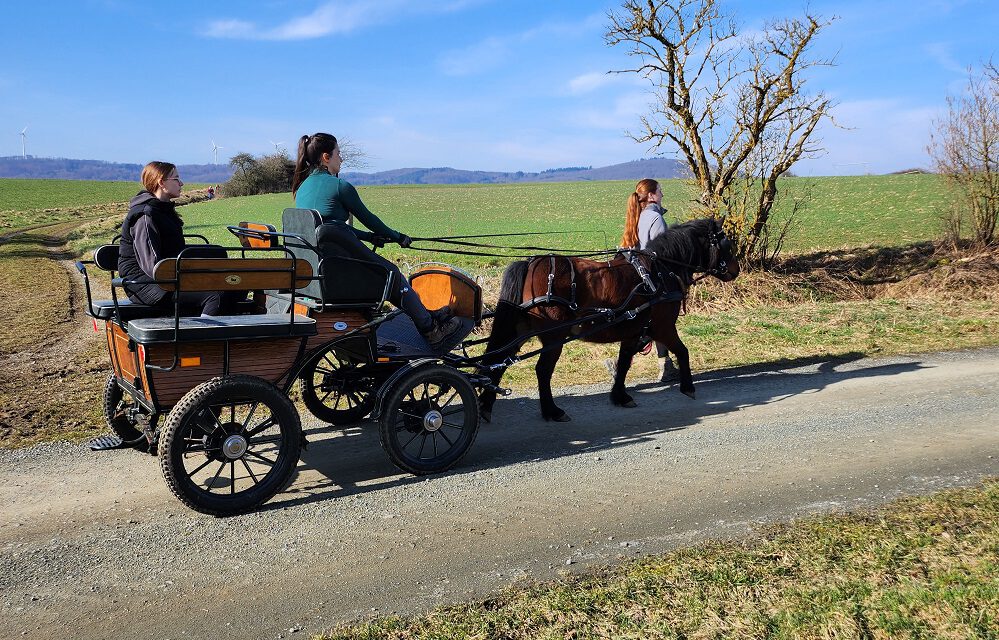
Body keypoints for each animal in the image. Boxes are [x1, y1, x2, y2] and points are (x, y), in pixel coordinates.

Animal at [480, 218, 740, 422]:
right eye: (727, 244)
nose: (735, 270)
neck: (659, 271)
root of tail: (531, 264)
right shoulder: (663, 327)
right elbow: (683, 351)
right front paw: (688, 387)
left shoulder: (633, 330)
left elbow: (624, 363)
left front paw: (620, 396)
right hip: (554, 338)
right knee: (542, 371)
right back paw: (552, 411)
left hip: (519, 331)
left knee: (497, 363)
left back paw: (486, 406)